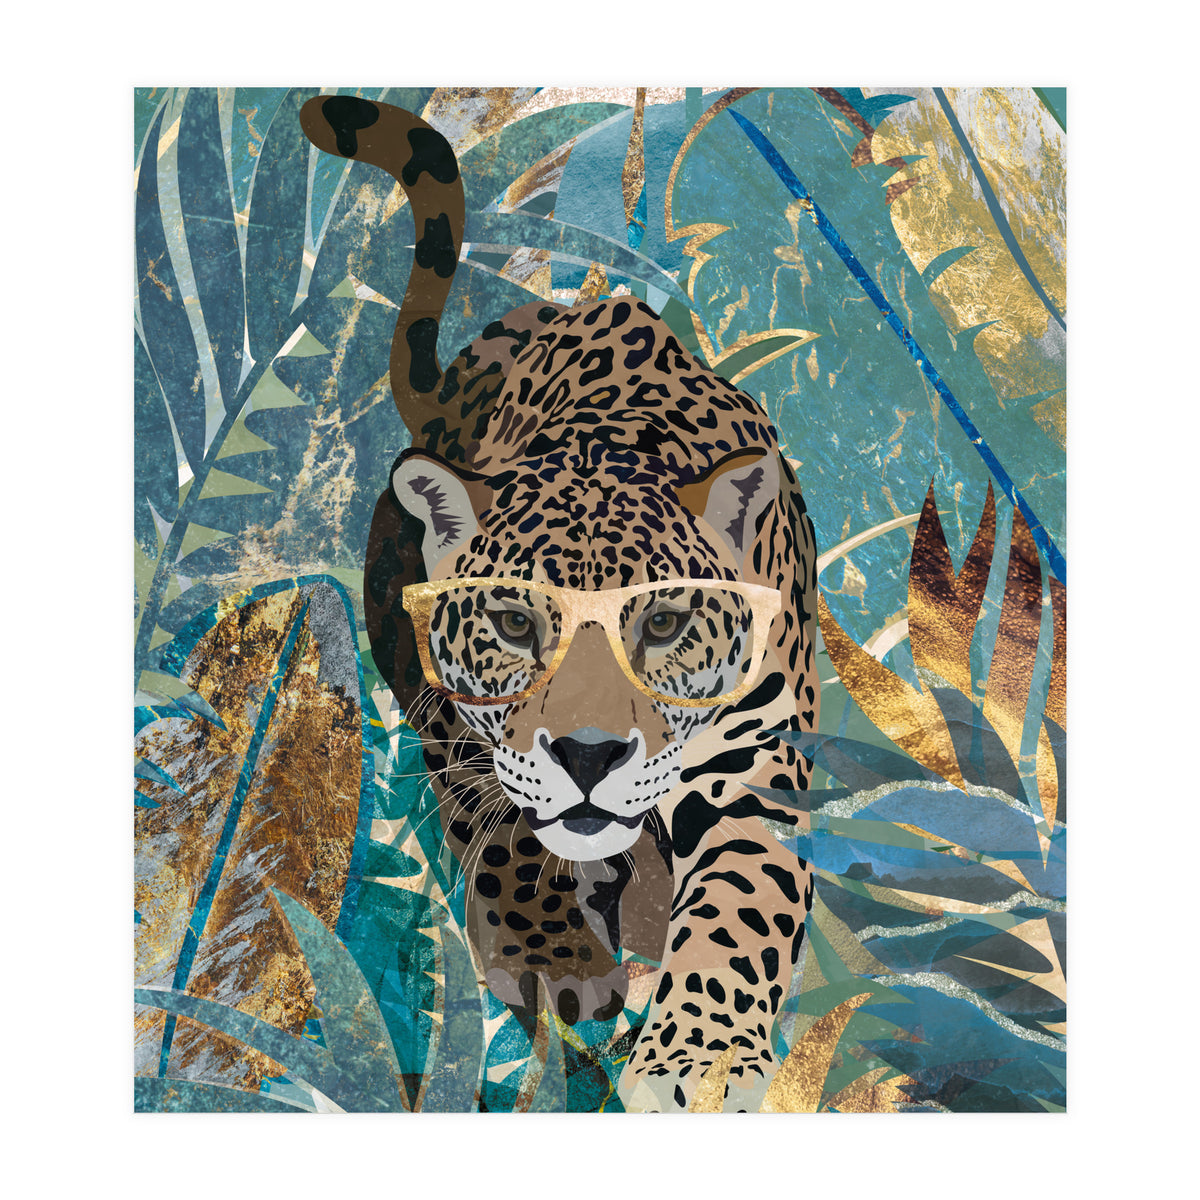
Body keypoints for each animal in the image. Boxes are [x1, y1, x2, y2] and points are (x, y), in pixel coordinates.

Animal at [300, 95, 819, 1112]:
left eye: (663, 624)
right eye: (513, 624)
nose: (587, 755)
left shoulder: (757, 765)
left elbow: (743, 906)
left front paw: (697, 1063)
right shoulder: (461, 717)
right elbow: (504, 823)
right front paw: (552, 958)